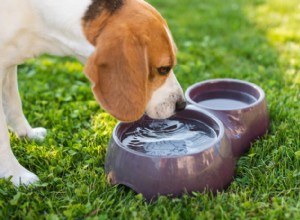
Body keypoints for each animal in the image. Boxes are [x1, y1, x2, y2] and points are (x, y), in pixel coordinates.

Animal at [0, 0, 186, 186]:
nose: (182, 105)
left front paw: (27, 135)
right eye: (163, 69)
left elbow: (14, 104)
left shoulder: (9, 65)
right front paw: (17, 175)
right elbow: (3, 136)